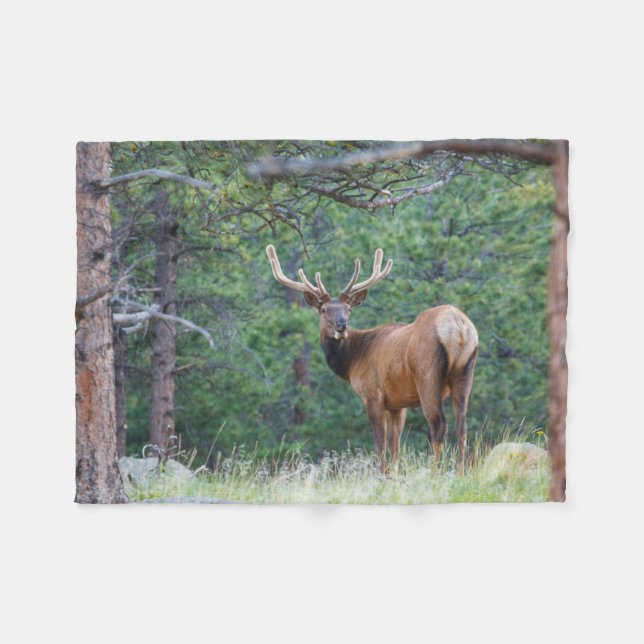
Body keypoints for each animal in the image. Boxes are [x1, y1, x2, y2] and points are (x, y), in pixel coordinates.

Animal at [265, 245, 478, 475]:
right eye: (323, 310)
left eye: (348, 309)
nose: (342, 325)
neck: (352, 361)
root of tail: (460, 327)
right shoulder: (397, 403)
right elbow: (395, 445)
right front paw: (393, 474)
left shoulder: (372, 394)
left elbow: (380, 444)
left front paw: (382, 475)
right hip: (465, 372)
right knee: (462, 425)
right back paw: (460, 472)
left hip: (427, 374)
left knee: (438, 425)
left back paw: (433, 474)